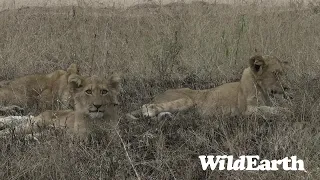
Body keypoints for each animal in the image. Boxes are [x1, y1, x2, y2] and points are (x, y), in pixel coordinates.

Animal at [127, 54, 292, 119]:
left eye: (284, 73)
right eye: (276, 73)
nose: (287, 88)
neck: (263, 89)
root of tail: (157, 95)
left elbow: (272, 107)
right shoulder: (247, 110)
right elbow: (272, 110)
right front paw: (287, 111)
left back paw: (166, 117)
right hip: (187, 100)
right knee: (146, 106)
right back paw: (151, 113)